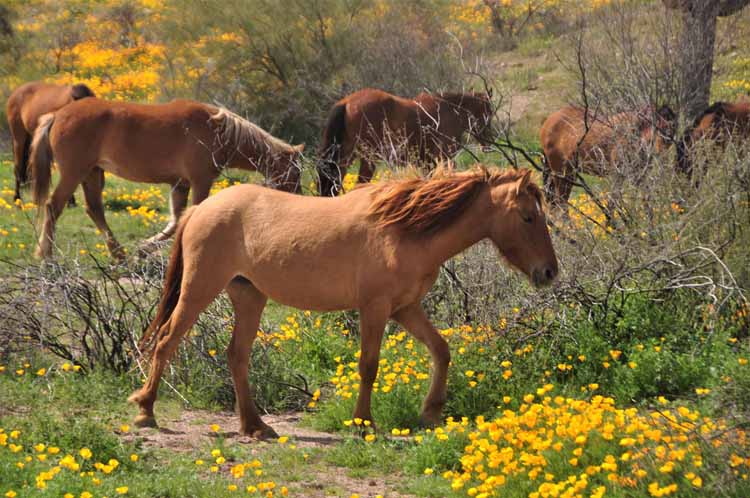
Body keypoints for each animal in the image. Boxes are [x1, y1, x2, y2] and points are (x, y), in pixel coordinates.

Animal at [28, 98, 306, 260]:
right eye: (294, 173)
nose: (298, 200)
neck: (217, 130)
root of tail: (57, 114)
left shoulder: (180, 184)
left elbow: (176, 220)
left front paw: (145, 248)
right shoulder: (200, 181)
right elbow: (191, 214)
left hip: (93, 173)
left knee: (95, 209)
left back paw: (119, 254)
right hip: (74, 172)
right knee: (54, 207)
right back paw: (45, 255)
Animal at [128, 166, 560, 436]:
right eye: (527, 216)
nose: (549, 272)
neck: (405, 230)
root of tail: (201, 209)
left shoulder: (405, 309)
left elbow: (441, 350)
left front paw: (430, 413)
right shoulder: (375, 308)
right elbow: (369, 365)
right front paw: (363, 422)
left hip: (248, 296)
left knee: (237, 355)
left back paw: (255, 426)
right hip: (200, 288)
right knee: (167, 340)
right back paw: (145, 410)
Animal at [318, 88, 500, 197]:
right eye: (488, 113)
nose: (488, 143)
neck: (449, 111)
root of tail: (346, 103)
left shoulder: (427, 164)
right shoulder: (443, 159)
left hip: (345, 159)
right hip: (368, 159)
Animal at [540, 105, 680, 206]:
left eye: (672, 130)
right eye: (659, 129)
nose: (661, 152)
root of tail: (547, 122)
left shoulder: (640, 175)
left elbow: (646, 201)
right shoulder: (617, 175)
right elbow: (613, 203)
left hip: (566, 173)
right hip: (562, 173)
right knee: (559, 203)